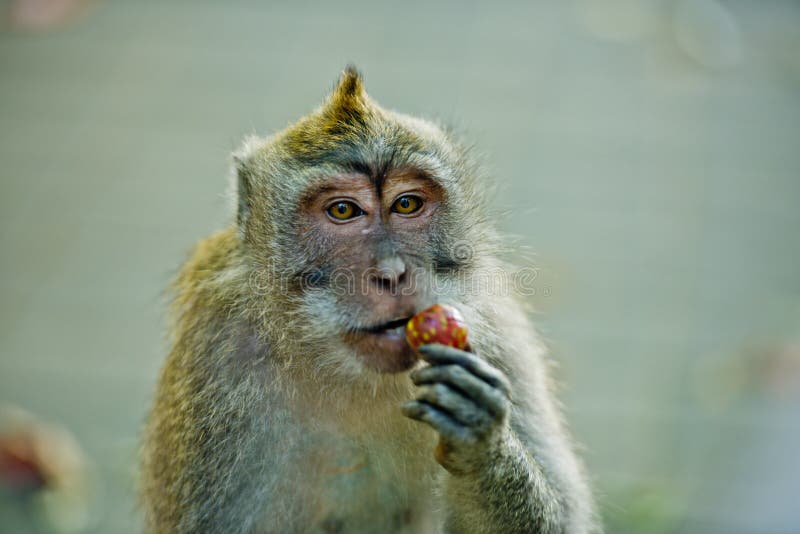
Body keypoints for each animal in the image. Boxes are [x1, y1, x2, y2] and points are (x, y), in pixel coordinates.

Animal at [141, 67, 596, 534]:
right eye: (343, 210)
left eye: (407, 204)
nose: (392, 273)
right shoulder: (219, 352)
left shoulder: (498, 333)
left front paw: (483, 446)